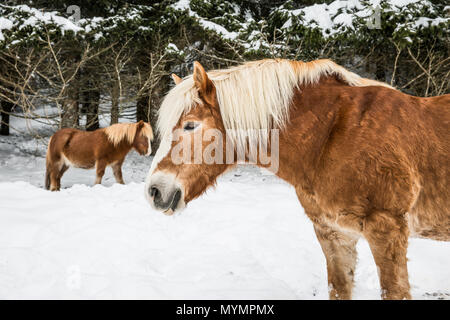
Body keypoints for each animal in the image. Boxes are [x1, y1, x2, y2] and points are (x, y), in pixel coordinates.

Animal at [146, 59, 448, 300]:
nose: (154, 191)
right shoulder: (333, 233)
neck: (332, 134)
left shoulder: (387, 230)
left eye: (190, 125)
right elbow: (339, 288)